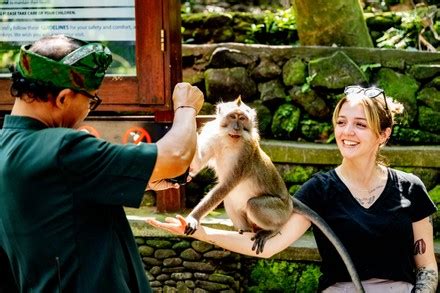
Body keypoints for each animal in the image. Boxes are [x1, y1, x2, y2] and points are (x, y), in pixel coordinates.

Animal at [185, 96, 364, 292]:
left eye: (242, 119)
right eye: (233, 117)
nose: (237, 127)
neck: (230, 140)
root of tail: (290, 200)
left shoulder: (245, 155)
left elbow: (225, 186)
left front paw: (193, 218)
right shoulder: (212, 136)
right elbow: (195, 165)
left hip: (280, 210)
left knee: (253, 204)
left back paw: (271, 230)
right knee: (230, 201)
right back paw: (243, 231)